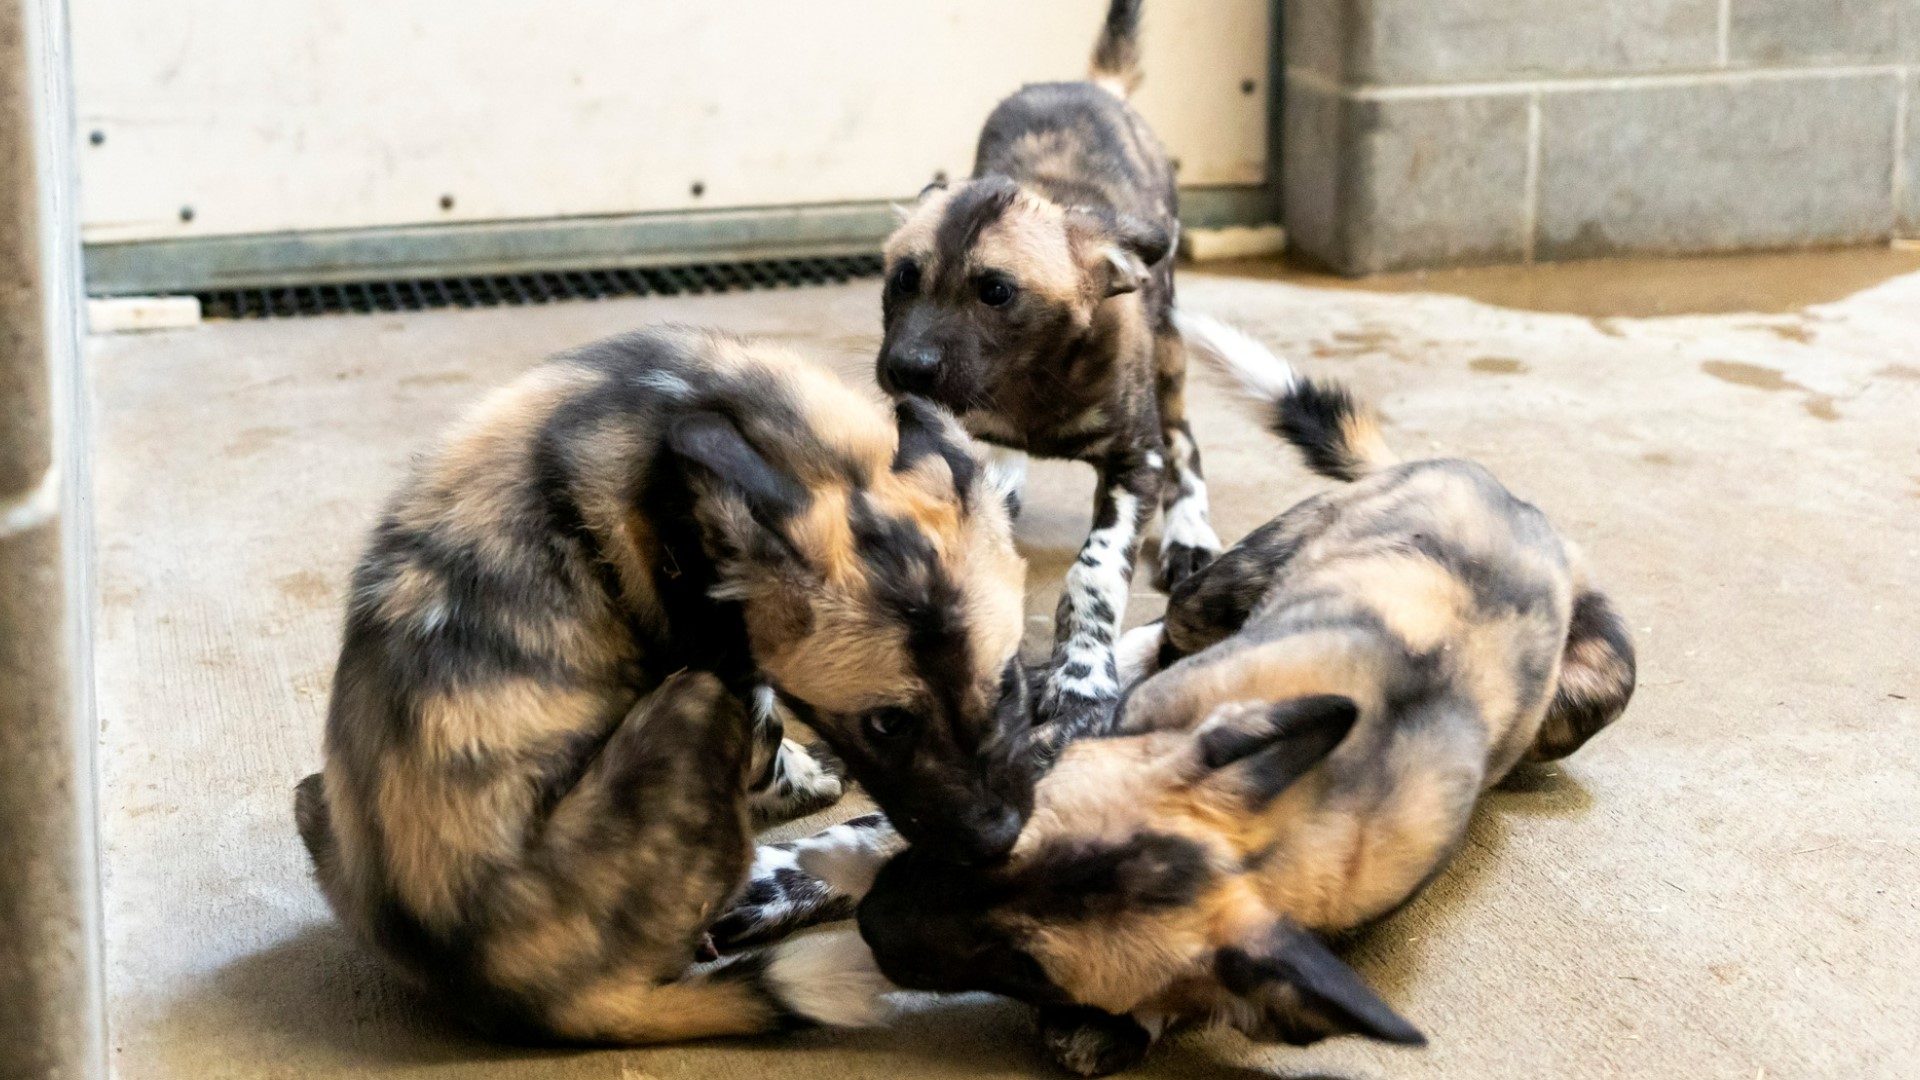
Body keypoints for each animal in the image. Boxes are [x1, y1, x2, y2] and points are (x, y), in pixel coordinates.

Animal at [729, 311, 1635, 1068]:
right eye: (1010, 850)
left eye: (1025, 968)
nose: (875, 920)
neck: (1304, 806)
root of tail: (1499, 489)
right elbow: (899, 819)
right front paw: (783, 875)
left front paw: (1124, 1025)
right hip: (1220, 593)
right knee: (1158, 631)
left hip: (1592, 692)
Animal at [879, 0, 1221, 749]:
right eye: (903, 279)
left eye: (996, 292)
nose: (904, 369)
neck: (1025, 385)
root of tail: (1093, 85)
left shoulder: (1136, 462)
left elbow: (1093, 575)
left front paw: (1081, 680)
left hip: (1171, 355)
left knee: (1187, 444)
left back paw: (1191, 533)